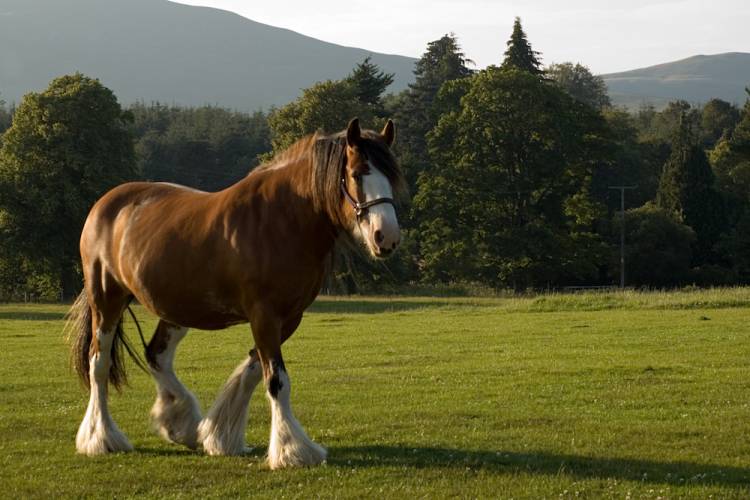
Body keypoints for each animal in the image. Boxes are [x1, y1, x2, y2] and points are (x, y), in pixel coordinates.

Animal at [64, 118, 406, 468]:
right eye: (357, 173)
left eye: (392, 176)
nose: (386, 237)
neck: (282, 220)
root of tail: (105, 204)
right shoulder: (264, 315)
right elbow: (276, 381)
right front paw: (292, 449)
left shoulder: (287, 318)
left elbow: (254, 371)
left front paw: (221, 434)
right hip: (107, 301)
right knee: (99, 363)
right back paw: (101, 438)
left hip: (176, 309)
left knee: (156, 355)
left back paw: (181, 422)